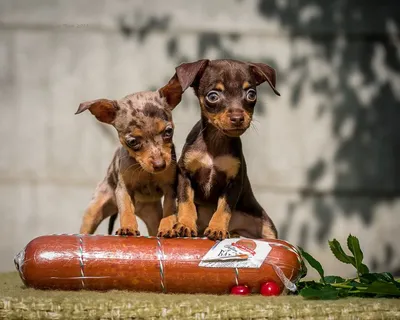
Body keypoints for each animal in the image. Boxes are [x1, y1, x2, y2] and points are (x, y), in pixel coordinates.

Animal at [76, 78, 183, 238]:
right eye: (132, 141)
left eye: (168, 131)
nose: (160, 165)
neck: (144, 170)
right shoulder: (124, 189)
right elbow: (126, 210)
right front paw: (128, 228)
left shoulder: (170, 188)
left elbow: (169, 209)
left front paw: (168, 228)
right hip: (94, 211)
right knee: (87, 226)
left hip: (152, 216)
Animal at [170, 59, 280, 240]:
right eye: (213, 96)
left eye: (251, 94)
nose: (237, 118)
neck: (216, 141)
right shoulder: (185, 174)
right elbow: (186, 203)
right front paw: (185, 224)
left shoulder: (234, 183)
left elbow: (224, 209)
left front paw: (217, 229)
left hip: (266, 227)